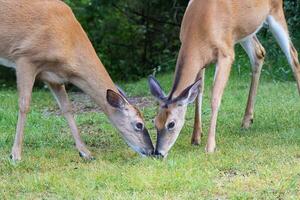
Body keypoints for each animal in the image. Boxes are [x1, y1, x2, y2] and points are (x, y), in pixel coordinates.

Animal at [0, 0, 155, 161]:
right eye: (139, 124)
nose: (151, 151)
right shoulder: (24, 57)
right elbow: (24, 105)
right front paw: (15, 155)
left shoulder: (53, 77)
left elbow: (67, 108)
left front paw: (85, 152)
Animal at [149, 0, 298, 158]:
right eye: (155, 122)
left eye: (171, 124)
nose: (158, 153)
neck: (198, 27)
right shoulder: (202, 60)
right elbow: (198, 92)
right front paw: (196, 137)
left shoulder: (226, 53)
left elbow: (215, 97)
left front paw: (210, 146)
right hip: (244, 31)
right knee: (259, 53)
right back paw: (247, 120)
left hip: (276, 13)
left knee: (293, 55)